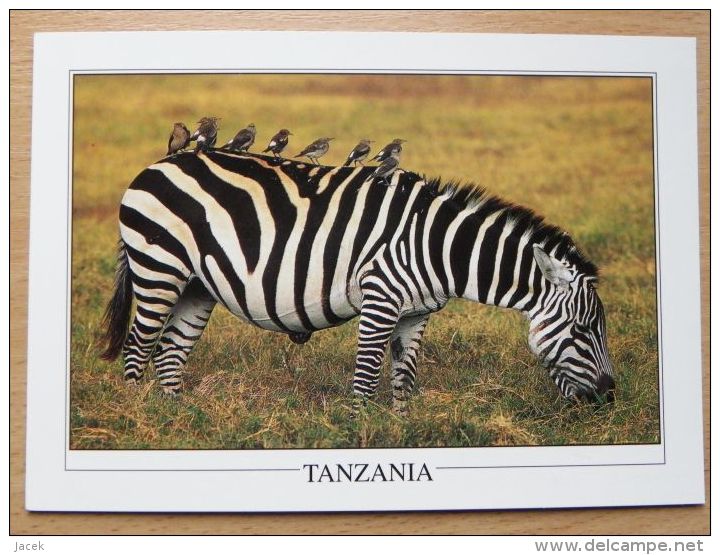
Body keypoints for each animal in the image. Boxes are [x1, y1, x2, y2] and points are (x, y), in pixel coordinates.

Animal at [101, 148, 616, 412]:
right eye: (582, 330)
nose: (609, 397)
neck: (435, 245)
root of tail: (158, 163)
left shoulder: (417, 313)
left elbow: (404, 378)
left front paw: (403, 429)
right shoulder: (380, 299)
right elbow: (367, 377)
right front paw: (360, 431)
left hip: (196, 286)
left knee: (169, 352)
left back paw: (176, 420)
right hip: (159, 267)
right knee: (138, 347)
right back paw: (138, 417)